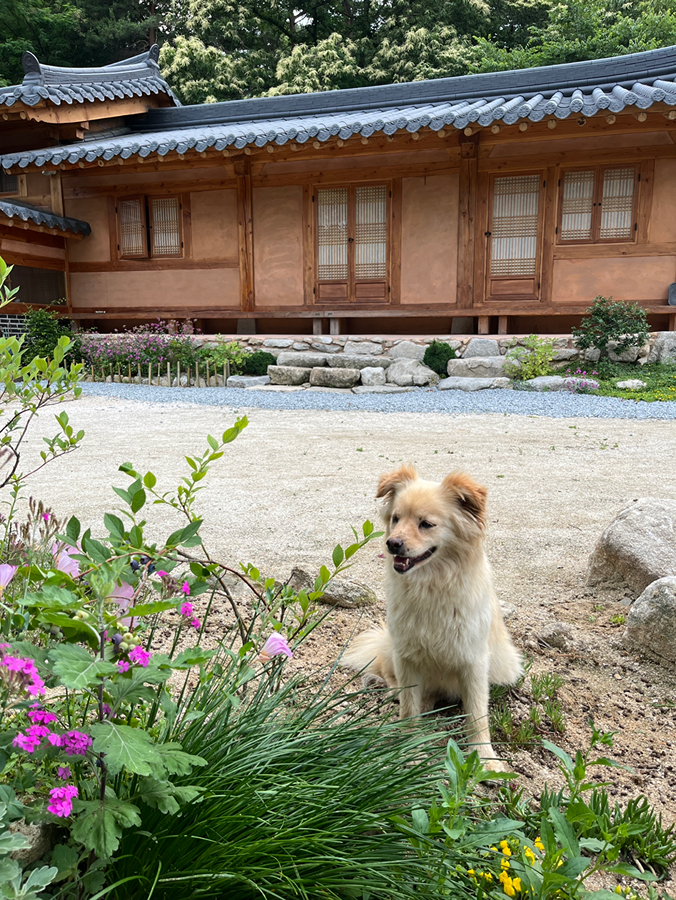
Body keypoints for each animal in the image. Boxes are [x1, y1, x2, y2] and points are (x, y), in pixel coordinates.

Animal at [344, 468, 524, 768]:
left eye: (426, 524)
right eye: (395, 518)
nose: (392, 543)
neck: (431, 585)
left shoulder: (474, 662)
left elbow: (477, 715)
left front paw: (485, 758)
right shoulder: (406, 656)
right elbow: (409, 708)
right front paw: (407, 747)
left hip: (505, 665)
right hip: (391, 649)